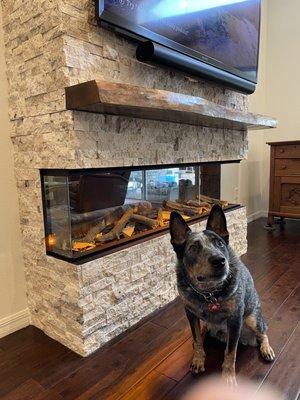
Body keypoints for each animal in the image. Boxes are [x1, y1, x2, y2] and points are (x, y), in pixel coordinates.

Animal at [169, 205, 274, 386]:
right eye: (193, 248)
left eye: (219, 243)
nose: (219, 260)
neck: (209, 293)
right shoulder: (190, 313)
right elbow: (197, 339)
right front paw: (198, 360)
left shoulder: (235, 319)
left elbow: (230, 352)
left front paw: (228, 376)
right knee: (203, 332)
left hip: (252, 319)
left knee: (263, 332)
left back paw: (266, 349)